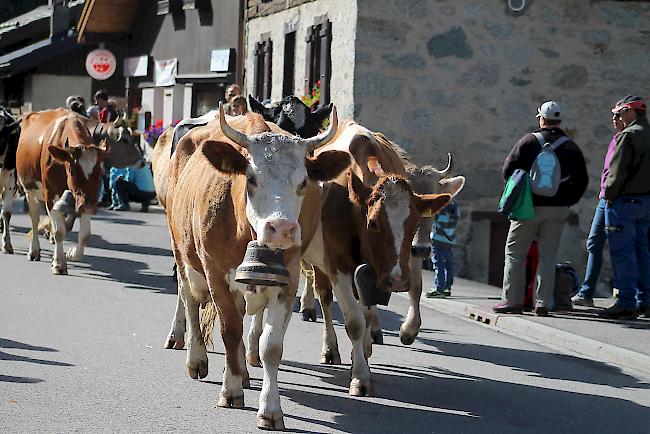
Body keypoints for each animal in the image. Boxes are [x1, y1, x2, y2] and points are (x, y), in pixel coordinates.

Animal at [15, 112, 107, 274]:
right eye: (72, 170)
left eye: (100, 173)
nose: (89, 206)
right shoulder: (51, 196)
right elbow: (59, 232)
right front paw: (59, 263)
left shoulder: (85, 199)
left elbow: (85, 235)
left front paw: (71, 254)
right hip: (30, 191)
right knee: (35, 220)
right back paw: (34, 251)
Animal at [167, 103, 350, 428]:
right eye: (251, 178)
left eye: (304, 182)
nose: (282, 229)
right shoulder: (216, 274)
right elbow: (229, 331)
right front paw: (230, 391)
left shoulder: (287, 279)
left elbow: (271, 345)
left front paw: (270, 408)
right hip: (182, 251)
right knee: (188, 297)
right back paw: (196, 357)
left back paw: (241, 370)